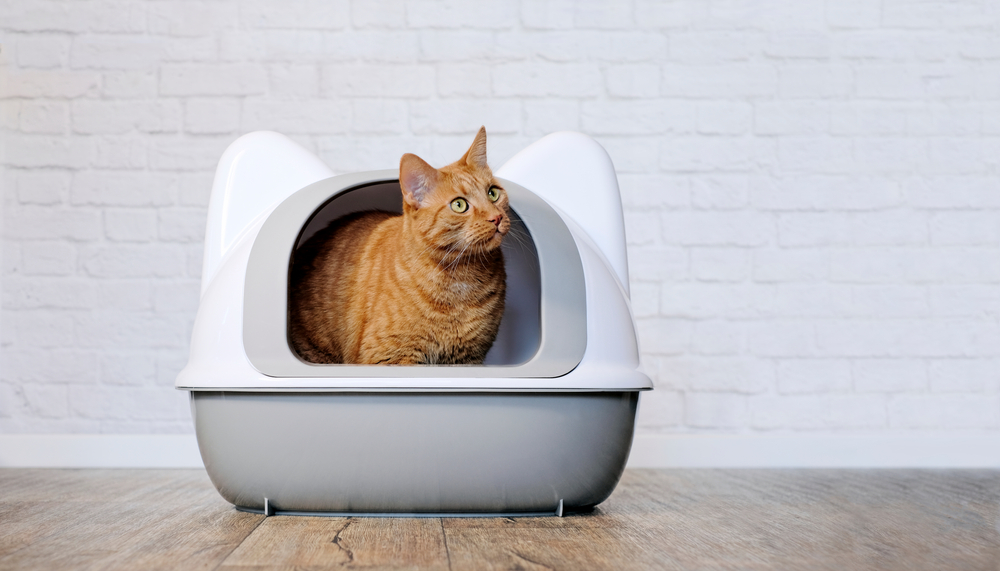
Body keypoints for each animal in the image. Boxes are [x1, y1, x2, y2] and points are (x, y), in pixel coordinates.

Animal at [288, 127, 508, 364]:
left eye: (493, 193)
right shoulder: (391, 356)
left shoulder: (467, 359)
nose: (496, 217)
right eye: (459, 205)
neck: (462, 278)